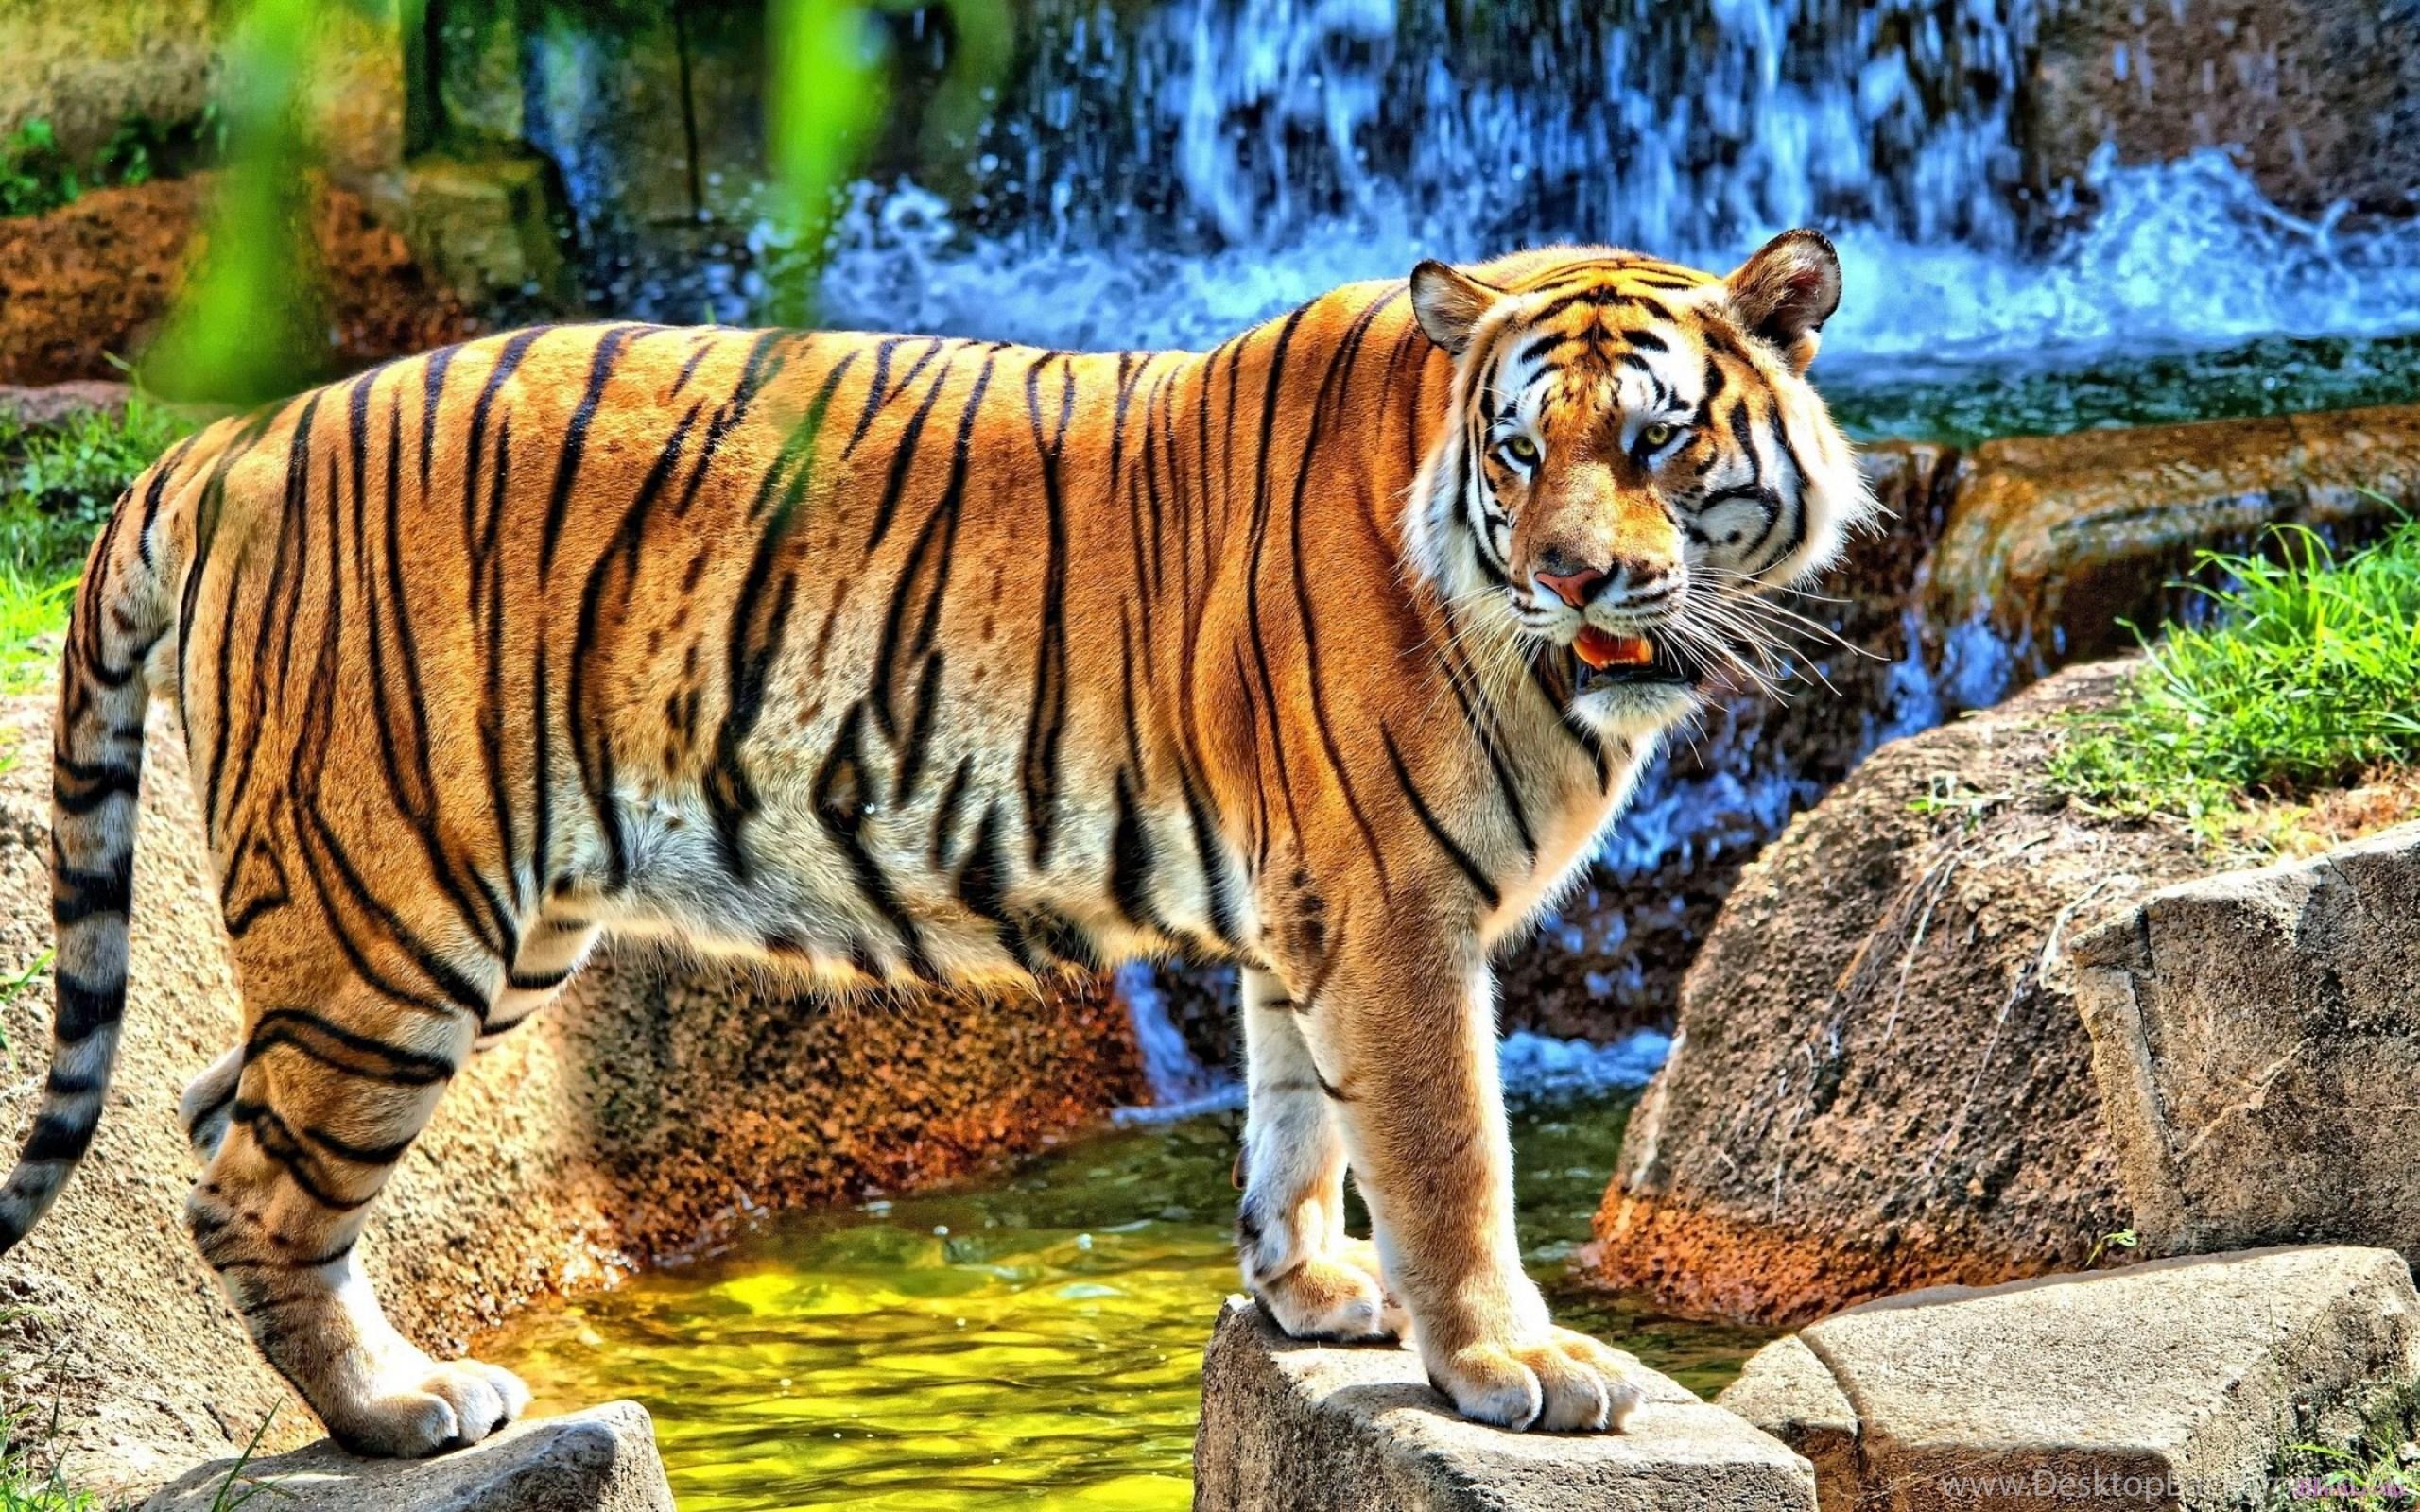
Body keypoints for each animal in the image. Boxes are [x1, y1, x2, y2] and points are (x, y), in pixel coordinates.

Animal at [0, 230, 1867, 1455]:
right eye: (1519, 448)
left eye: (1657, 442)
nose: (1571, 575)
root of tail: (233, 434)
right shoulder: (1392, 904)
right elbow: (1446, 1148)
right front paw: (1508, 1365)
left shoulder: (1311, 902)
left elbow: (1294, 1115)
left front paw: (1313, 1292)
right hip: (400, 911)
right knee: (254, 1189)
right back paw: (404, 1409)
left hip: (458, 925)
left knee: (214, 1109)